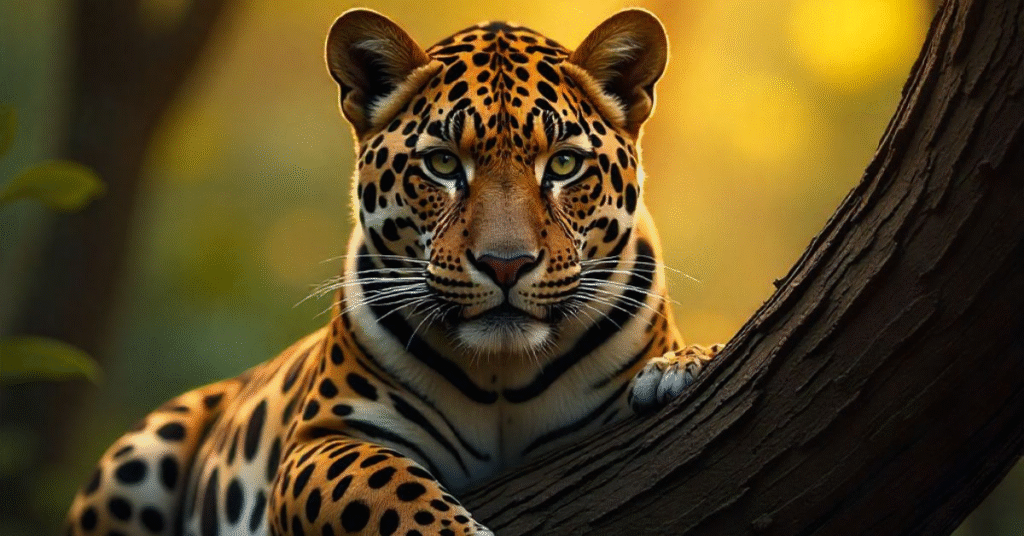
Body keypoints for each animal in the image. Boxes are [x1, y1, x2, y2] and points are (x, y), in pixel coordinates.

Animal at [64, 8, 722, 536]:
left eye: (563, 165)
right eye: (442, 165)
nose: (505, 265)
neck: (503, 372)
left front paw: (682, 366)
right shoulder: (323, 440)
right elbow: (389, 493)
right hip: (138, 459)